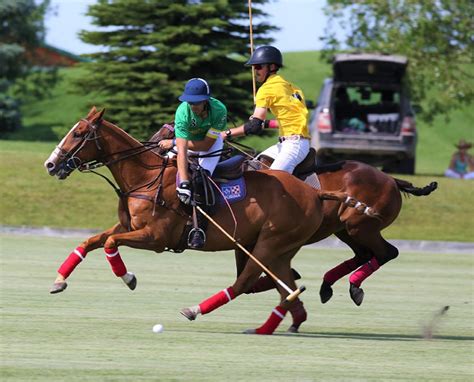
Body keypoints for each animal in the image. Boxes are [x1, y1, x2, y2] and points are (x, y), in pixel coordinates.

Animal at [44, 107, 378, 334]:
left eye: (78, 133)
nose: (50, 164)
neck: (144, 178)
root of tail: (315, 193)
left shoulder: (155, 237)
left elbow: (110, 244)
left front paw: (129, 278)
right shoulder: (129, 227)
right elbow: (91, 241)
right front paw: (59, 280)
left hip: (270, 243)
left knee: (246, 282)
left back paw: (195, 309)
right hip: (280, 247)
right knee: (285, 285)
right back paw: (272, 325)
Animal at [152, 121, 436, 332]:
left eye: (167, 134)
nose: (155, 149)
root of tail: (391, 178)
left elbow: (253, 276)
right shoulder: (247, 240)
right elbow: (256, 276)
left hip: (359, 227)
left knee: (387, 252)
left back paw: (352, 287)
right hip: (345, 229)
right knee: (366, 254)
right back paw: (328, 286)